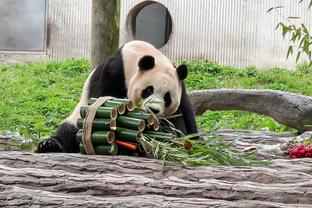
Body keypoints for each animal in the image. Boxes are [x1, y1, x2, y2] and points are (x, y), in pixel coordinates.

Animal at [36, 40, 197, 153]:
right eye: (148, 90)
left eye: (167, 98)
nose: (154, 110)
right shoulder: (113, 73)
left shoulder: (181, 90)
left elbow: (180, 125)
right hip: (76, 118)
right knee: (70, 129)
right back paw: (49, 145)